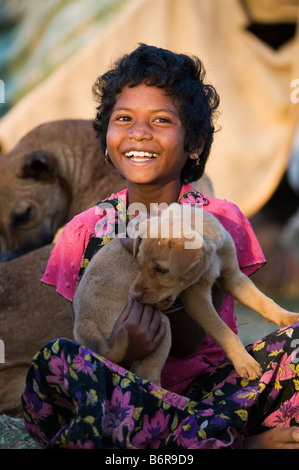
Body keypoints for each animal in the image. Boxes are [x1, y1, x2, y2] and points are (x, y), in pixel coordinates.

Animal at [73, 205, 299, 386]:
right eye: (139, 264)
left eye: (161, 270)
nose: (134, 295)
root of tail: (83, 321)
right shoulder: (196, 297)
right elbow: (224, 331)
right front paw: (245, 362)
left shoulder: (233, 276)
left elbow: (263, 301)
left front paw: (288, 316)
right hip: (160, 326)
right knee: (148, 374)